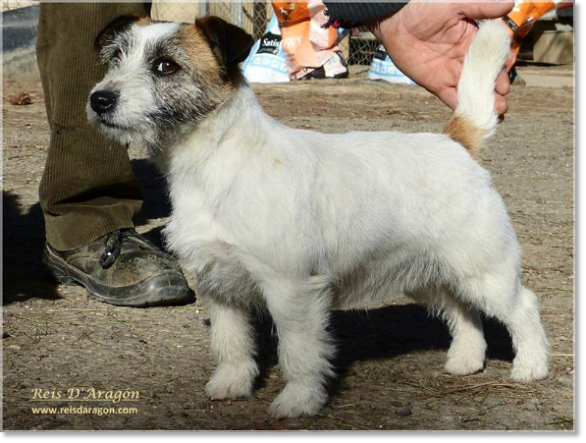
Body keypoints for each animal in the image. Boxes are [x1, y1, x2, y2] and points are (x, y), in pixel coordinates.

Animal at [88, 17, 548, 420]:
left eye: (166, 66)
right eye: (116, 58)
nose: (99, 100)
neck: (217, 161)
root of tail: (456, 141)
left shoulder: (291, 291)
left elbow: (300, 352)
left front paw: (300, 401)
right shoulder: (219, 287)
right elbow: (231, 343)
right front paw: (232, 384)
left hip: (483, 271)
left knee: (522, 307)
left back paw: (531, 366)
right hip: (430, 275)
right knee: (464, 312)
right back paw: (465, 360)